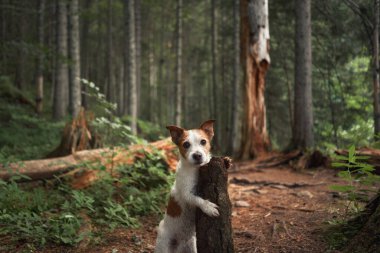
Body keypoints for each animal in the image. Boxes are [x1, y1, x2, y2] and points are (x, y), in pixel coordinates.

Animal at [154, 120, 220, 253]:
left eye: (203, 141)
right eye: (186, 144)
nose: (197, 155)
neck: (196, 169)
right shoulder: (186, 193)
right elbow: (198, 199)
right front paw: (208, 207)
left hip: (191, 246)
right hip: (163, 244)